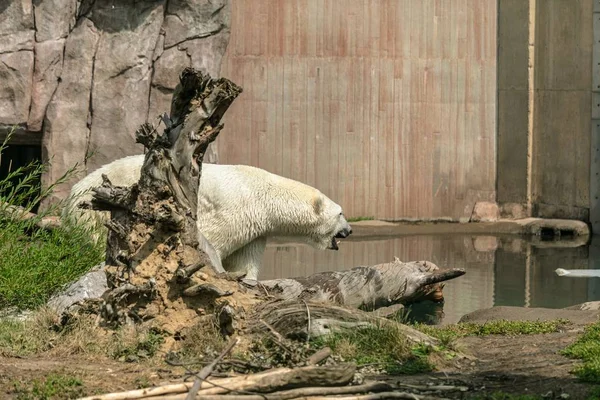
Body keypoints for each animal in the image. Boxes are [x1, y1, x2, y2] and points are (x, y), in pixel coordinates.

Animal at [62, 155, 352, 280]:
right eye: (340, 213)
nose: (349, 230)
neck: (263, 194)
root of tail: (73, 193)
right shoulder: (234, 210)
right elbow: (213, 243)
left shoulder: (256, 229)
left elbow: (244, 260)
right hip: (97, 213)